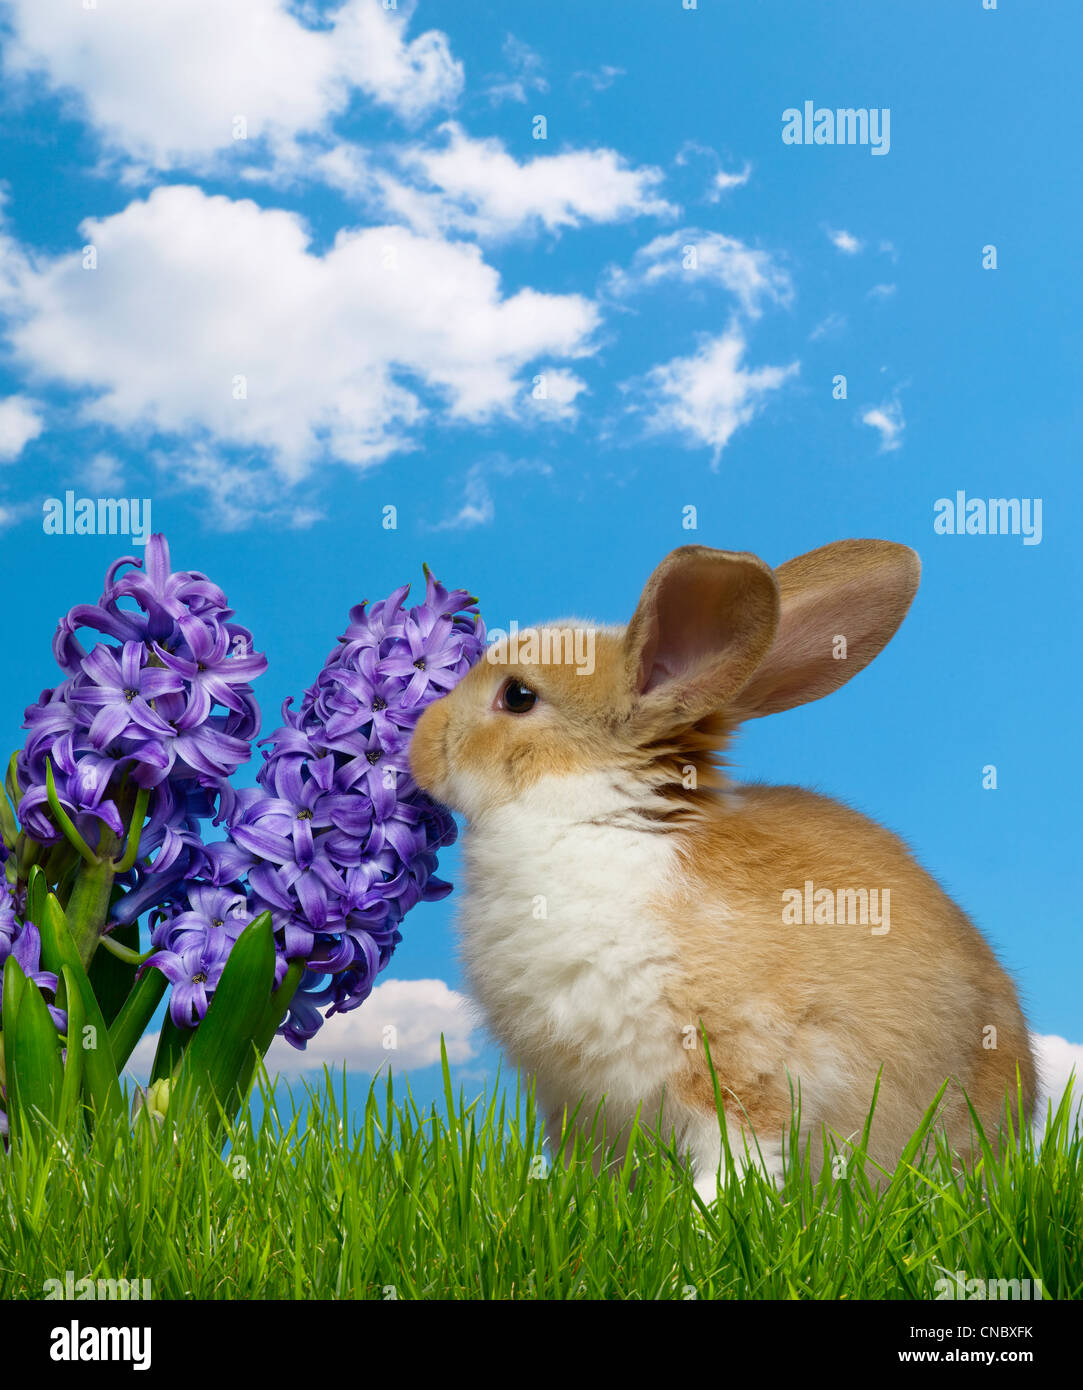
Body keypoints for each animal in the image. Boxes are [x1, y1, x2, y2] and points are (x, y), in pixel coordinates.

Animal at [409, 540, 1036, 1199]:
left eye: (519, 696)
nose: (420, 742)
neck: (604, 816)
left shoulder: (737, 1069)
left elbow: (735, 1161)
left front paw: (700, 1220)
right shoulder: (574, 1105)